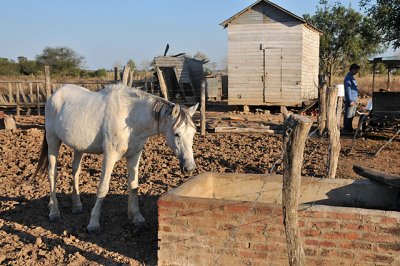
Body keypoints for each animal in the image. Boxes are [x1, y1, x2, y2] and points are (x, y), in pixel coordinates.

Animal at [34, 83, 198, 233]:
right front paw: (93, 224)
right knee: (52, 173)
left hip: (78, 147)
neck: (130, 118)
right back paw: (54, 211)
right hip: (53, 140)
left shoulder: (134, 154)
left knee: (75, 171)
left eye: (193, 133)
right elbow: (102, 188)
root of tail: (54, 95)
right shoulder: (110, 155)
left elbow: (134, 185)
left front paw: (136, 217)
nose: (189, 167)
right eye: (176, 133)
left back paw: (77, 206)